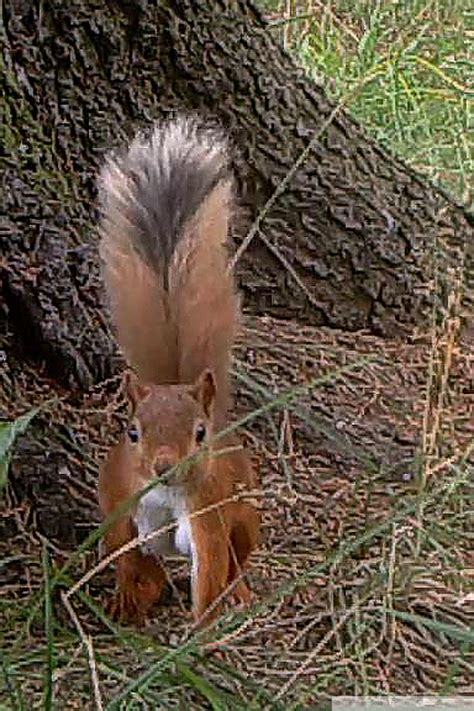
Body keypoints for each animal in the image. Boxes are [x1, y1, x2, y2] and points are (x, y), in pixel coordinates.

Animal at [97, 116, 260, 627]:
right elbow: (123, 555)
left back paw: (240, 594)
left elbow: (210, 567)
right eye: (132, 433)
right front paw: (125, 599)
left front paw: (201, 628)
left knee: (239, 555)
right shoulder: (121, 502)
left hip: (245, 509)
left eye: (199, 433)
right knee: (148, 565)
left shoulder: (206, 511)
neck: (166, 494)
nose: (163, 467)